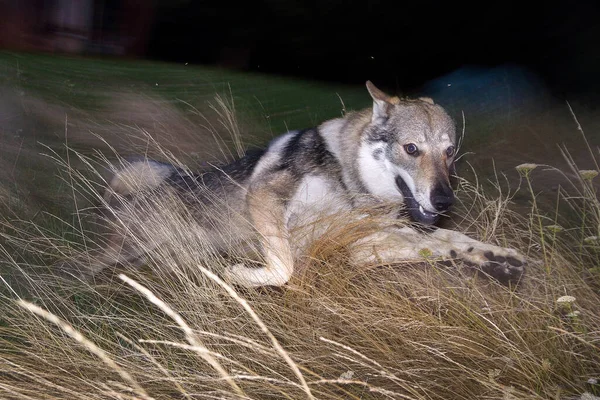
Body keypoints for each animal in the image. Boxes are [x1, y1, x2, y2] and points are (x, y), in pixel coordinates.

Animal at [78, 82, 524, 288]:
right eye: (411, 148)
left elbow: (452, 242)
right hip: (125, 249)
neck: (348, 178)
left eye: (450, 152)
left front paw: (500, 259)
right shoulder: (265, 197)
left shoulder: (364, 247)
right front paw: (241, 276)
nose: (445, 199)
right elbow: (283, 268)